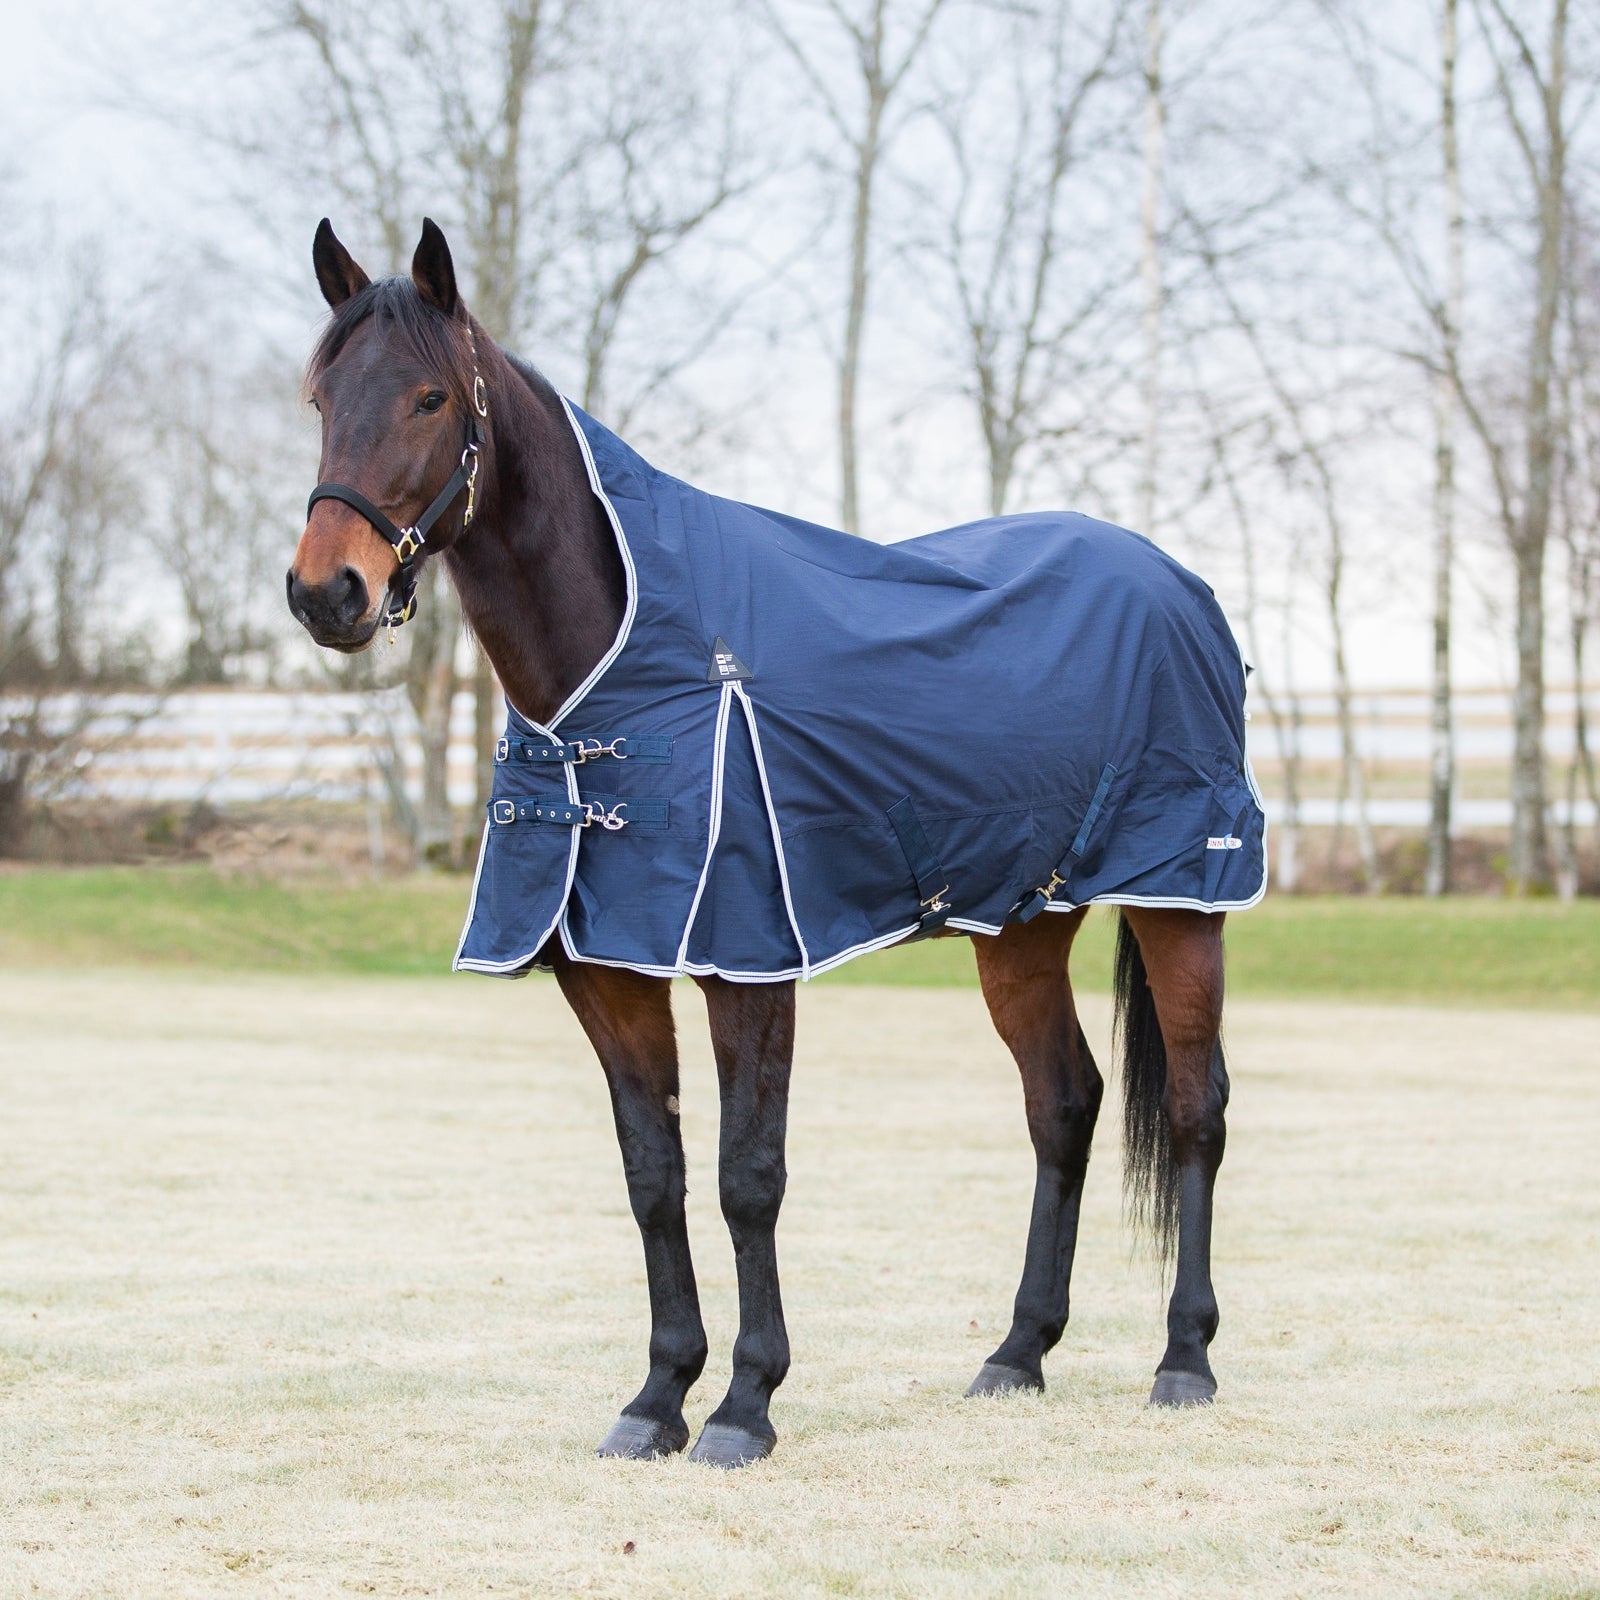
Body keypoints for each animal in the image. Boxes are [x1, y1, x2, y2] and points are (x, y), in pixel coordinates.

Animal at [287, 218, 1247, 1468]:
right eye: (318, 398)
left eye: (429, 396)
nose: (327, 595)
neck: (622, 672)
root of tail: (1176, 581)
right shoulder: (609, 970)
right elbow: (654, 1175)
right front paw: (656, 1397)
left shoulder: (746, 962)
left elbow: (749, 1176)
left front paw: (745, 1403)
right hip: (1021, 923)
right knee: (1064, 1103)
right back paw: (1016, 1351)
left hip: (1181, 897)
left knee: (1192, 1106)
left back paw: (1184, 1358)